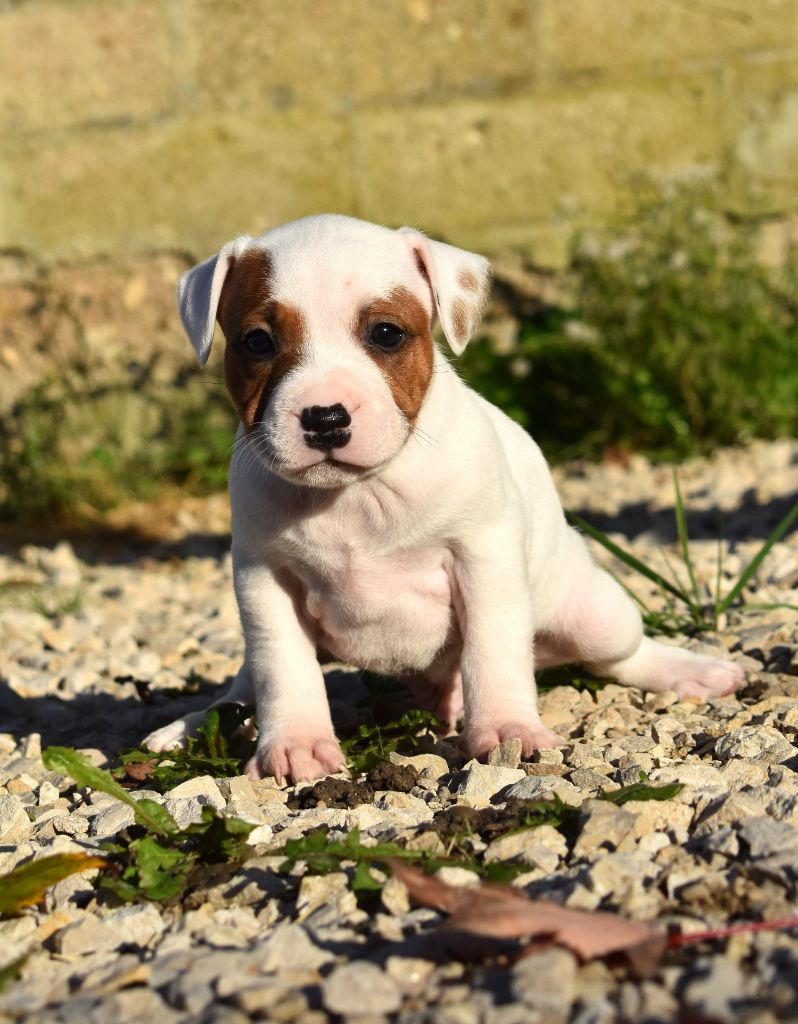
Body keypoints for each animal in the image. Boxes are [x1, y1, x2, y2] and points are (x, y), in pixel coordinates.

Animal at [145, 211, 749, 778]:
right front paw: (294, 744)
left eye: (386, 334)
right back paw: (190, 726)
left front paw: (507, 730)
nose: (324, 417)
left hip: (595, 616)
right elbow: (282, 667)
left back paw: (691, 671)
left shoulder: (482, 558)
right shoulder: (265, 579)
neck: (357, 495)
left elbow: (492, 650)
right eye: (257, 342)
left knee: (619, 655)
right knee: (243, 688)